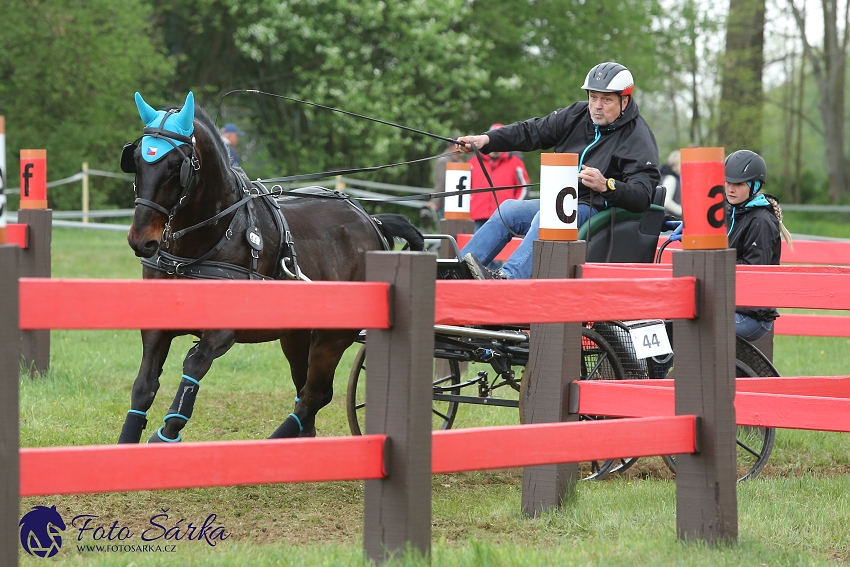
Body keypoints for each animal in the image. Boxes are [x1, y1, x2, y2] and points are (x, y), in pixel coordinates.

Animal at [119, 93, 424, 446]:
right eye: (136, 160)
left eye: (174, 167)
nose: (141, 241)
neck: (212, 235)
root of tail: (371, 221)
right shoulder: (157, 325)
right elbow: (144, 385)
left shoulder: (224, 329)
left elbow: (194, 363)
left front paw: (166, 435)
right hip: (296, 335)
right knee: (308, 391)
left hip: (332, 336)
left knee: (314, 395)